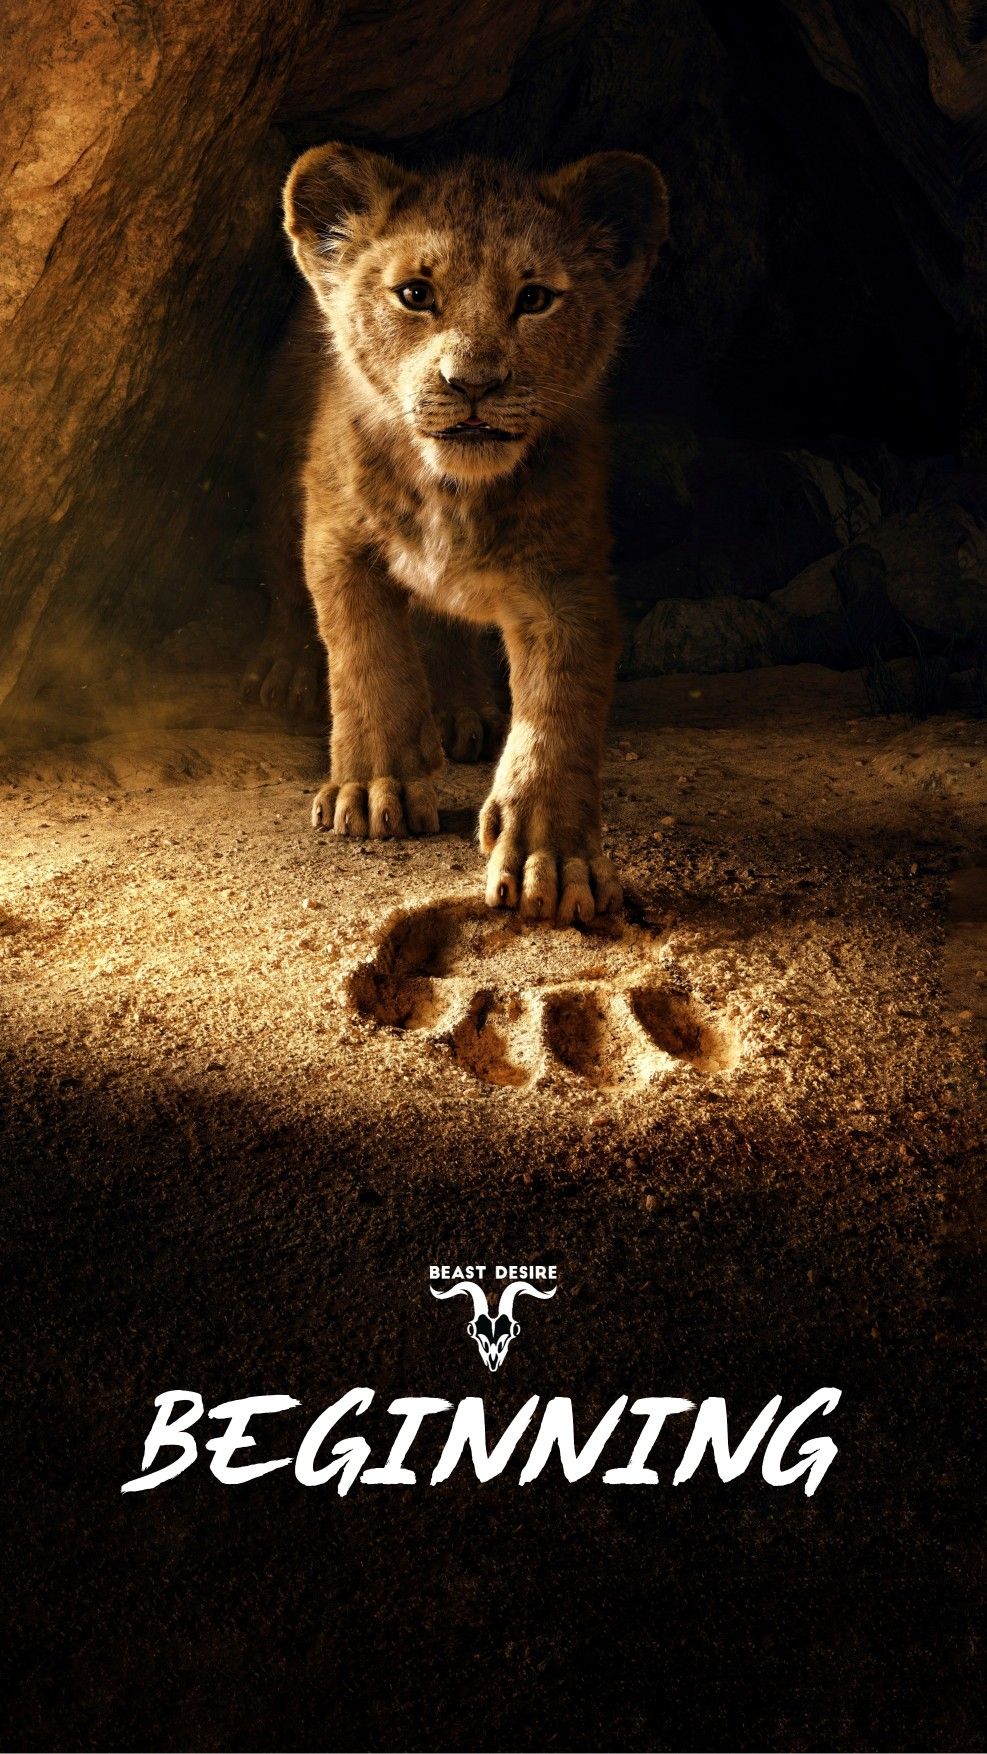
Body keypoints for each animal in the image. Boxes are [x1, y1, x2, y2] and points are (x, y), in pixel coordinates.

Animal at [254, 145, 668, 925]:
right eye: (415, 294)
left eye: (534, 299)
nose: (472, 383)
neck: (452, 490)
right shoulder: (337, 540)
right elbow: (366, 659)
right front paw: (374, 789)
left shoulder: (566, 582)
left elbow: (556, 714)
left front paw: (550, 857)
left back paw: (460, 709)